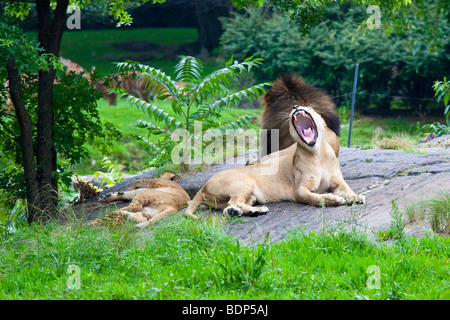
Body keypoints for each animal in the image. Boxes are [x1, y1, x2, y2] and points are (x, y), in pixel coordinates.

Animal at [186, 105, 366, 218]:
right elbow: (315, 198)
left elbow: (347, 189)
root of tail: (204, 186)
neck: (317, 154)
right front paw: (333, 200)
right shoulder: (299, 190)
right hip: (243, 182)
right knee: (234, 201)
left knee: (232, 205)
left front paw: (356, 196)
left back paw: (241, 212)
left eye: (309, 108)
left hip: (249, 196)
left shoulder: (337, 181)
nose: (296, 106)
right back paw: (256, 210)